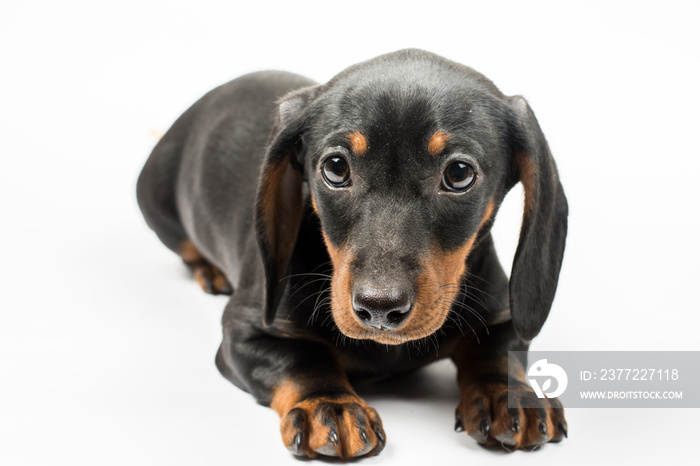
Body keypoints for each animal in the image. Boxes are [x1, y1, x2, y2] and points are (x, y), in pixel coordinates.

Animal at [137, 48, 568, 458]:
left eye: (459, 174)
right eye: (336, 167)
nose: (379, 308)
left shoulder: (504, 317)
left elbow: (497, 352)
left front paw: (506, 395)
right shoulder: (244, 330)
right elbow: (302, 358)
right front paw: (329, 404)